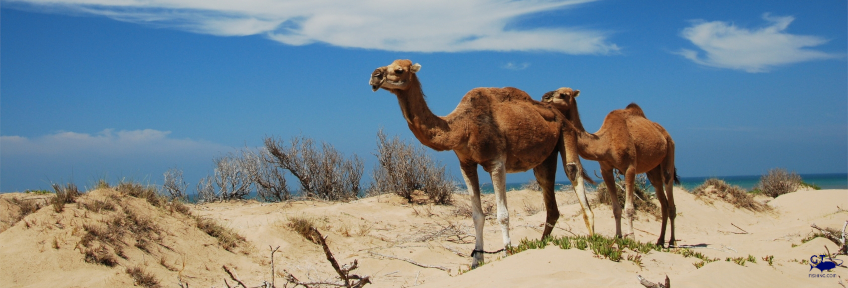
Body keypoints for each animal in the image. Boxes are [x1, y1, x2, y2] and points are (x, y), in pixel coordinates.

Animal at [372, 59, 596, 268]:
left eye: (399, 70)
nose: (375, 76)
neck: (463, 126)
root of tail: (560, 116)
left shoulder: (496, 162)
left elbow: (502, 214)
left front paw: (507, 252)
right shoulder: (466, 164)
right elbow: (477, 216)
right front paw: (476, 259)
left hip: (566, 133)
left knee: (573, 171)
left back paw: (593, 237)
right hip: (545, 156)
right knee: (548, 191)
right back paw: (542, 244)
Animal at [544, 88, 684, 248]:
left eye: (563, 94)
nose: (544, 97)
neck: (606, 142)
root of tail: (665, 133)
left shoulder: (630, 167)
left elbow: (629, 208)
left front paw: (631, 238)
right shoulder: (606, 169)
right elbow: (616, 208)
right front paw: (618, 237)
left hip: (670, 151)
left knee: (670, 192)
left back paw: (672, 241)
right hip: (653, 170)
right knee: (662, 199)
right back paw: (660, 241)